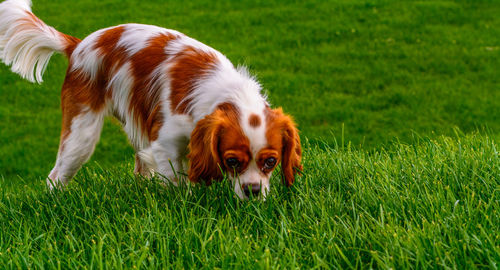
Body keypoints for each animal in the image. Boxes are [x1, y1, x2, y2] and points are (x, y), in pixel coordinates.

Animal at [0, 0, 300, 198]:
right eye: (232, 161)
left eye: (271, 162)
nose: (253, 191)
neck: (226, 92)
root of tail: (78, 44)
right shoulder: (165, 142)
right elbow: (176, 181)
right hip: (81, 134)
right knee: (57, 175)